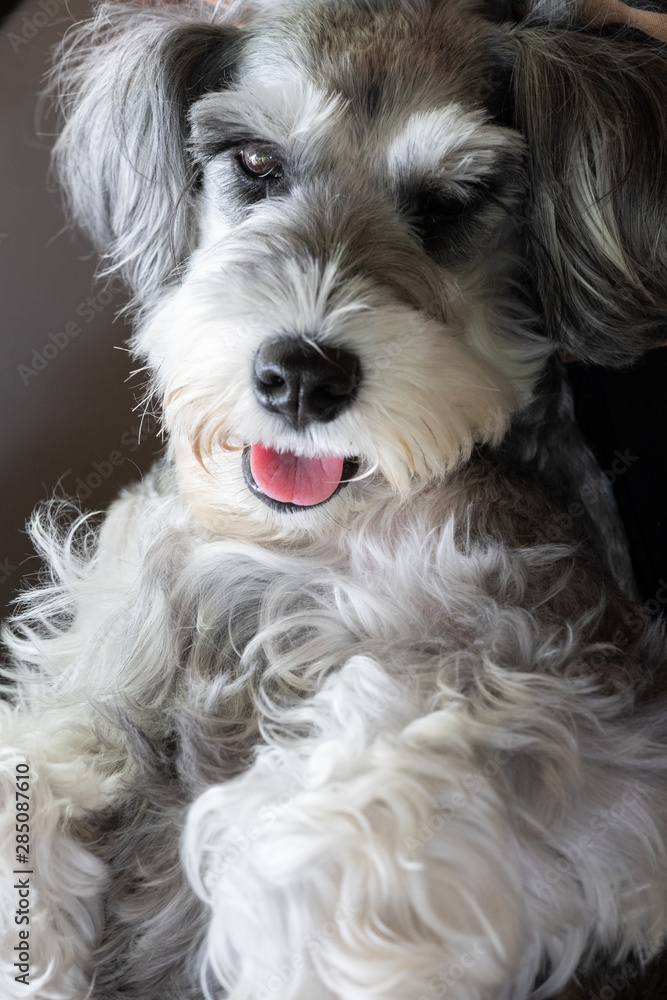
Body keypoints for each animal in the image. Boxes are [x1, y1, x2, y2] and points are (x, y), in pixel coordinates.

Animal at [1, 0, 667, 996]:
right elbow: (44, 754)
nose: (302, 378)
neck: (297, 541)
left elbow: (383, 781)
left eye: (452, 201)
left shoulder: (593, 708)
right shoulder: (103, 647)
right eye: (254, 160)